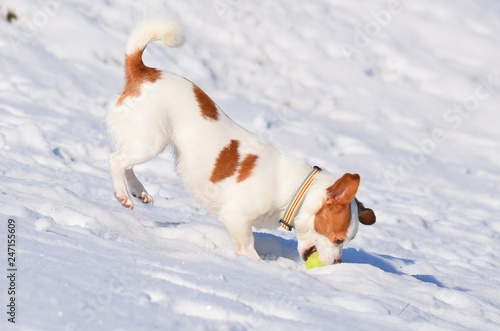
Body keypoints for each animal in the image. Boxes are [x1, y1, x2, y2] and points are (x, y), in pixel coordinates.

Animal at [108, 13, 376, 268]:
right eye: (338, 239)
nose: (338, 264)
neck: (295, 191)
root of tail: (144, 70)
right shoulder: (236, 217)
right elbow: (248, 247)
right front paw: (260, 265)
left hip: (145, 140)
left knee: (127, 163)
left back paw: (139, 192)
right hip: (151, 140)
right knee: (116, 160)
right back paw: (123, 194)